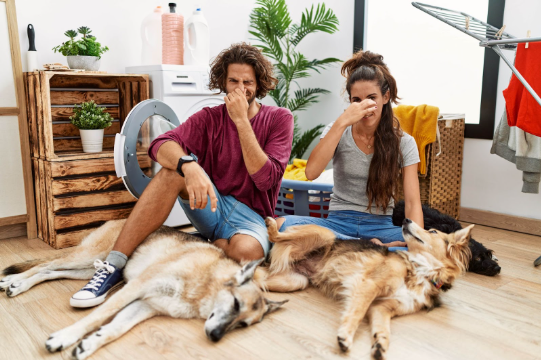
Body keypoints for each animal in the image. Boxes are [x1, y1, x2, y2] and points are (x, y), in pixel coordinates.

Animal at [0, 219, 286, 360]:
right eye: (236, 304)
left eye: (243, 325)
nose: (215, 337)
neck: (205, 284)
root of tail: (120, 219)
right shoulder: (135, 288)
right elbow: (96, 317)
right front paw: (65, 336)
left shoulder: (144, 306)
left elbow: (114, 329)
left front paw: (89, 344)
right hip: (89, 256)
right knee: (45, 264)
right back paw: (11, 281)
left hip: (84, 268)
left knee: (49, 271)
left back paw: (18, 283)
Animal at [264, 217, 470, 360]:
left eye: (433, 231)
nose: (406, 219)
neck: (422, 271)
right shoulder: (369, 284)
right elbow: (357, 312)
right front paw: (345, 336)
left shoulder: (383, 307)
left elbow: (383, 329)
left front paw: (380, 345)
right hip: (326, 235)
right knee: (276, 236)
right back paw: (271, 225)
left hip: (294, 281)